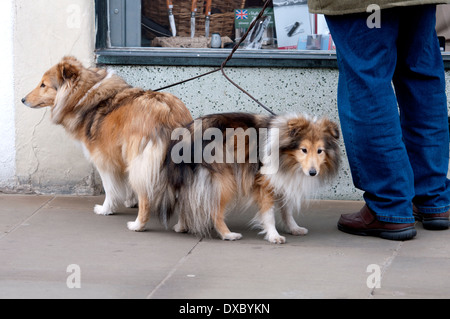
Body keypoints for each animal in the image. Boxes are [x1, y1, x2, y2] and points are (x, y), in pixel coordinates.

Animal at [22, 55, 192, 230]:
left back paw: (137, 225)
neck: (83, 95)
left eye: (43, 84)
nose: (22, 100)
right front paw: (130, 201)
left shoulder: (104, 159)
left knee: (146, 195)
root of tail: (168, 113)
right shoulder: (122, 157)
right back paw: (181, 226)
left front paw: (106, 209)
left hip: (142, 159)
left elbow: (110, 189)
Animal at [167, 113, 340, 245]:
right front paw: (274, 236)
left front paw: (294, 228)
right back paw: (228, 234)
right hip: (224, 181)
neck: (286, 157)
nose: (313, 172)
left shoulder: (283, 182)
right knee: (213, 209)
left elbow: (287, 210)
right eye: (303, 150)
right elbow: (269, 213)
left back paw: (181, 225)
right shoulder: (265, 183)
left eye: (320, 151)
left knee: (186, 200)